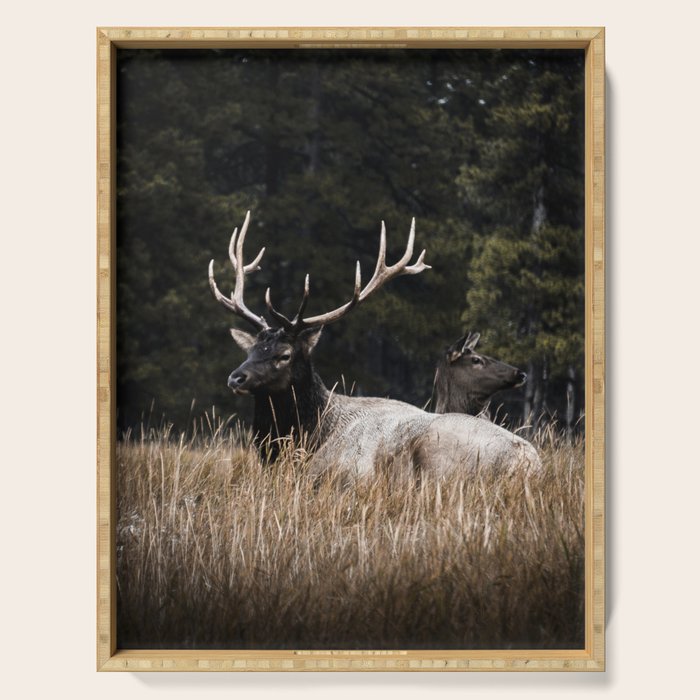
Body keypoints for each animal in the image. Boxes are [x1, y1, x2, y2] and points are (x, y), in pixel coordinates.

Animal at [208, 212, 541, 479]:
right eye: (250, 350)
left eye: (284, 354)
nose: (236, 378)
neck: (310, 436)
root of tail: (529, 461)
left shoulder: (351, 474)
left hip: (438, 457)